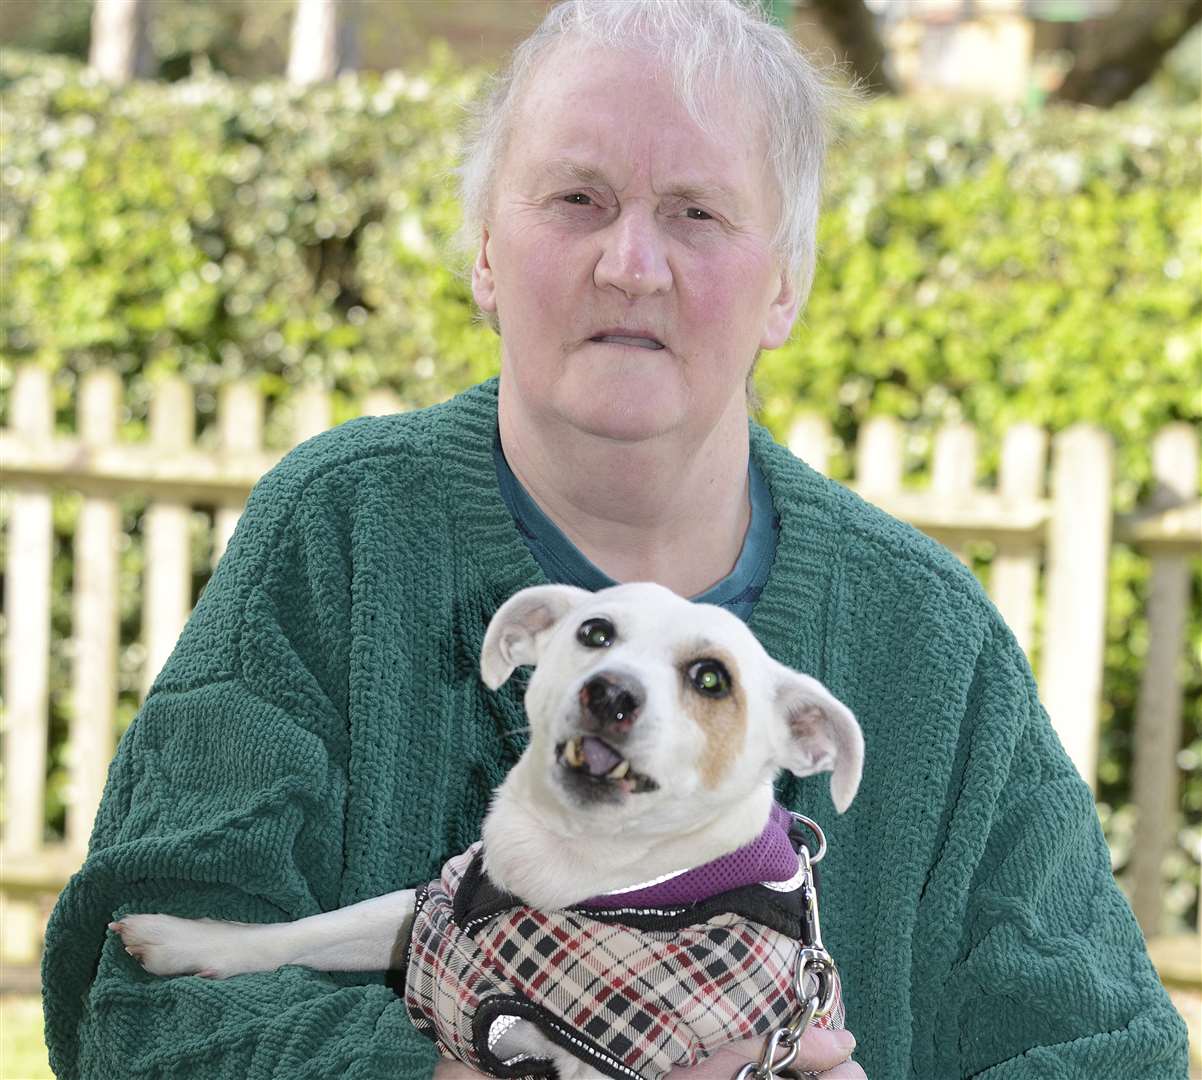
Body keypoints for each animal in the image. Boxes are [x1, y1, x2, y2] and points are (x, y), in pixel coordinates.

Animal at [112, 586, 860, 1080]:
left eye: (711, 678)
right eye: (595, 633)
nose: (609, 693)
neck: (565, 871)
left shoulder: (603, 1061)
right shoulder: (419, 913)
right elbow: (308, 931)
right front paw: (192, 940)